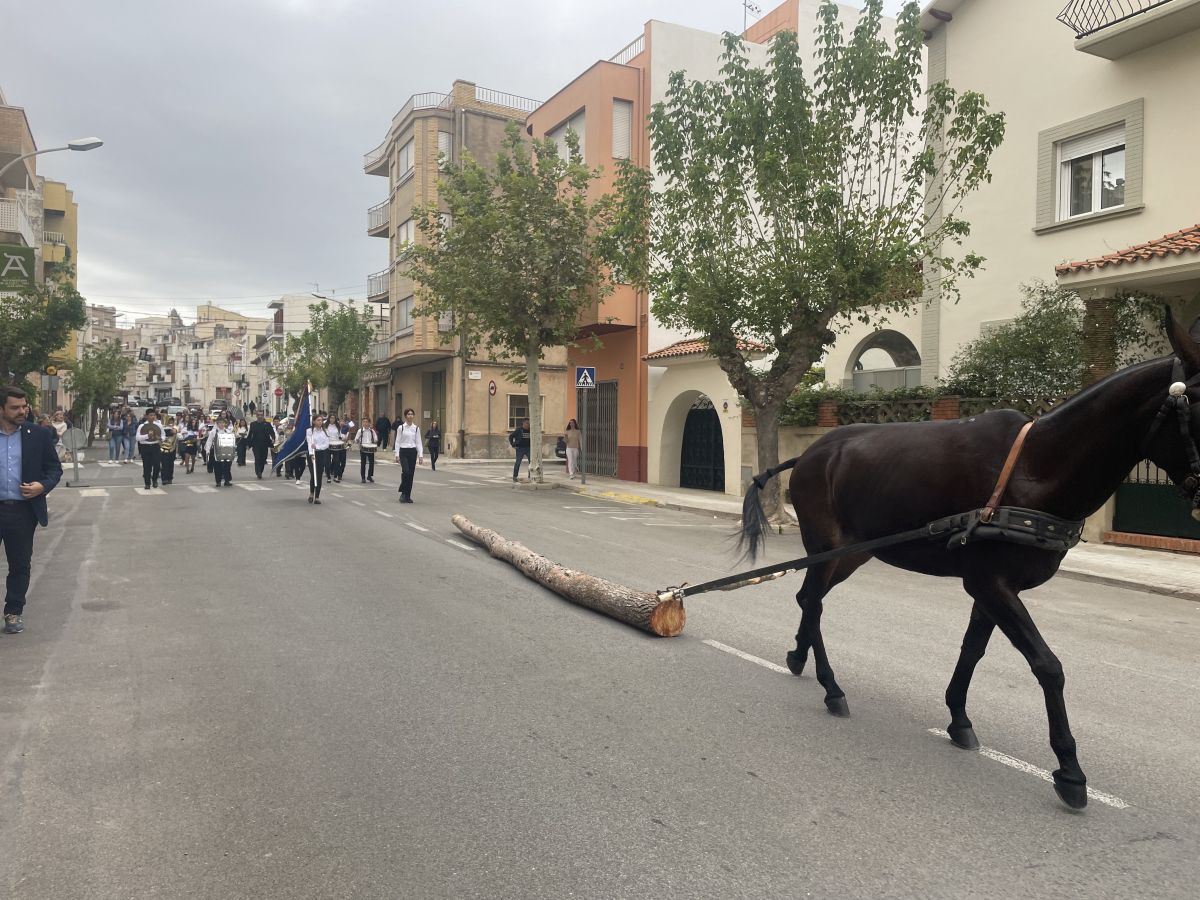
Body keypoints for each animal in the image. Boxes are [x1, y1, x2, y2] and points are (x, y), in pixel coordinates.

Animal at [739, 314, 1200, 811]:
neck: (1036, 469)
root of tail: (809, 453)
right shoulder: (990, 582)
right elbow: (1047, 665)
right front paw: (1069, 769)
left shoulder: (994, 586)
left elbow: (973, 650)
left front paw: (959, 718)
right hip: (827, 547)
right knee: (814, 602)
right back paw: (831, 686)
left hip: (852, 554)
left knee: (808, 598)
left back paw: (799, 655)